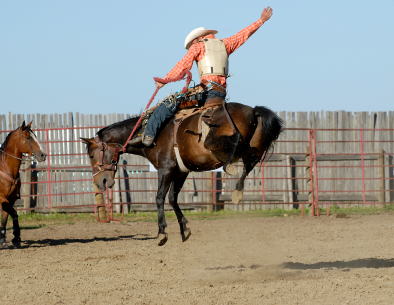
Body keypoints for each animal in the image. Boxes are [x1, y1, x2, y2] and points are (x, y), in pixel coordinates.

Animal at [0, 120, 46, 248]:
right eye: (28, 137)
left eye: (35, 136)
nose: (43, 155)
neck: (5, 168)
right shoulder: (2, 198)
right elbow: (11, 213)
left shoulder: (11, 198)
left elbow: (9, 216)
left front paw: (11, 238)